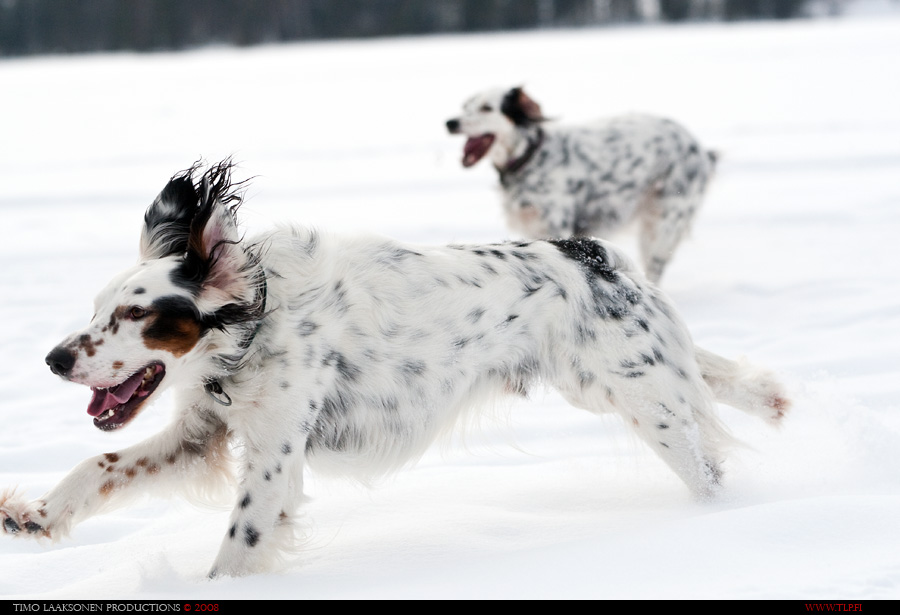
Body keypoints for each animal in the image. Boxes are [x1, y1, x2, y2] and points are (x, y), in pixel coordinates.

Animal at [0, 160, 784, 576]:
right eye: (95, 309)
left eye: (136, 316)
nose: (54, 358)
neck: (256, 327)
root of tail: (592, 254)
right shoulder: (203, 433)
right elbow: (99, 465)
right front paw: (35, 516)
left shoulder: (276, 459)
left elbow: (239, 542)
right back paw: (772, 400)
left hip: (642, 402)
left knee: (706, 462)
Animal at [444, 87, 716, 284]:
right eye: (465, 106)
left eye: (486, 108)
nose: (450, 122)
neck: (531, 156)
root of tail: (697, 146)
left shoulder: (557, 227)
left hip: (663, 225)